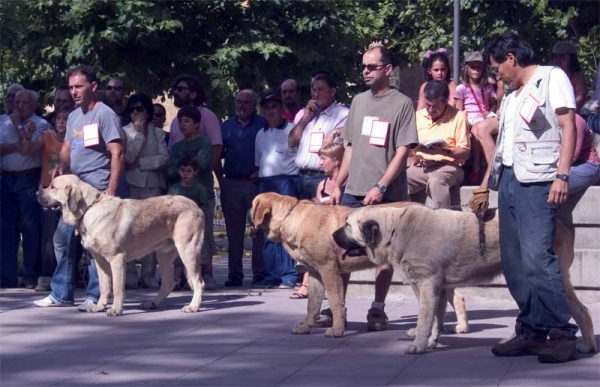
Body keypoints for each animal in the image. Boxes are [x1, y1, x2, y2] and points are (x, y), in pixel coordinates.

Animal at [38, 175, 206, 316]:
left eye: (53, 187)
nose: (36, 193)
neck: (89, 208)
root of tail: (196, 206)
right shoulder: (100, 261)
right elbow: (104, 287)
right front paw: (99, 306)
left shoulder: (117, 258)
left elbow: (118, 288)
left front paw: (116, 309)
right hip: (163, 255)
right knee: (167, 284)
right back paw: (152, 303)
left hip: (187, 250)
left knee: (198, 282)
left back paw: (193, 306)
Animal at [332, 206, 596, 354]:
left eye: (347, 225)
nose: (333, 235)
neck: (396, 230)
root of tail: (560, 226)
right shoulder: (437, 289)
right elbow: (435, 320)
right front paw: (431, 343)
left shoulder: (426, 286)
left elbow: (424, 320)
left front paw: (418, 345)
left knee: (581, 311)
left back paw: (583, 345)